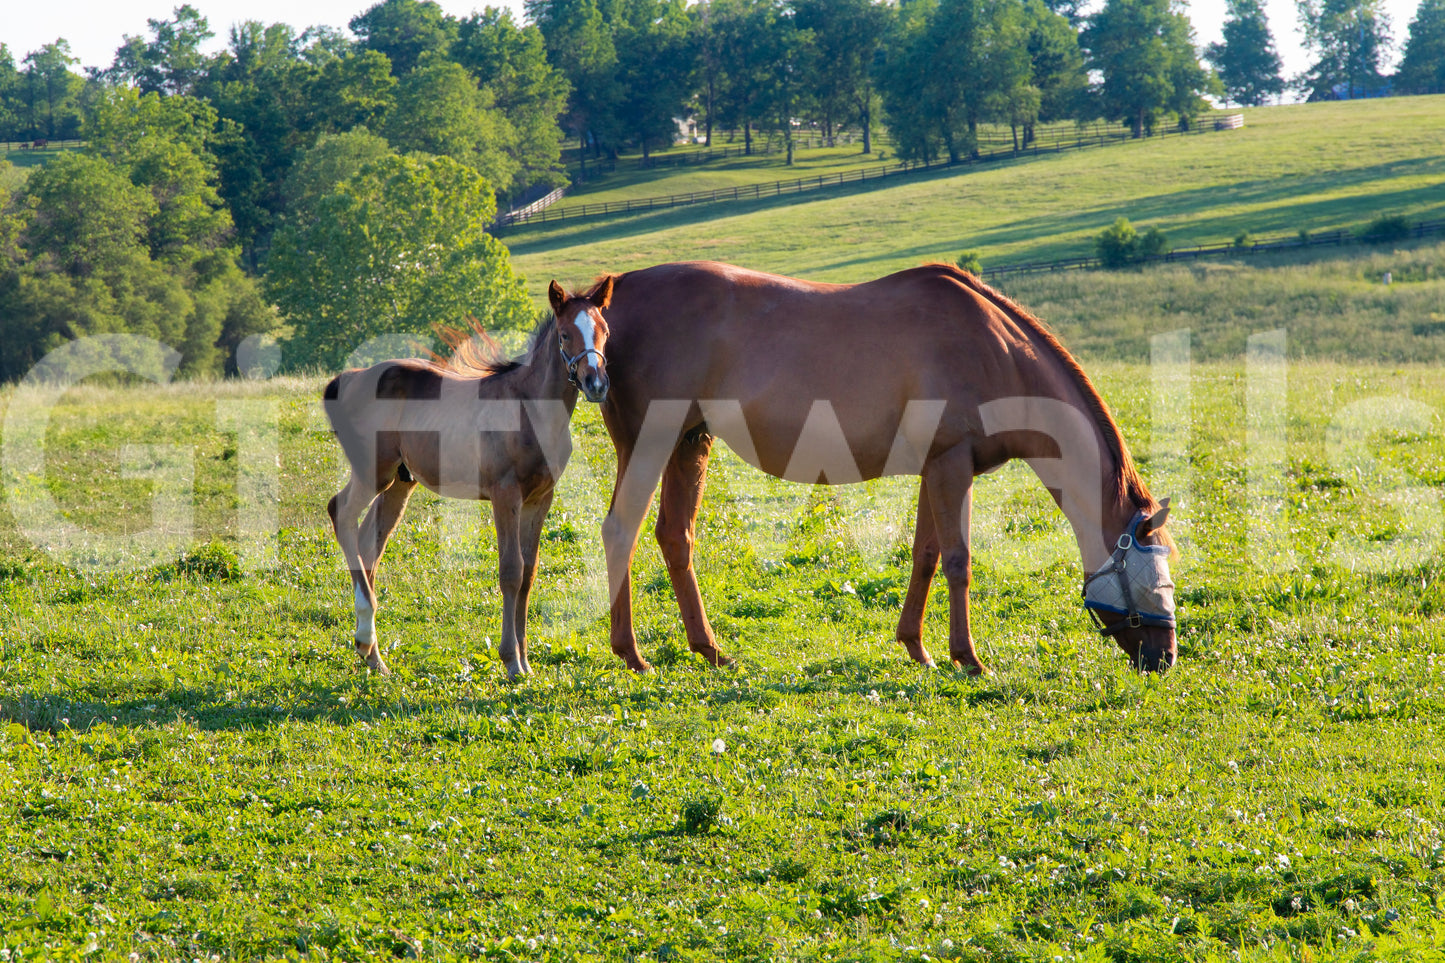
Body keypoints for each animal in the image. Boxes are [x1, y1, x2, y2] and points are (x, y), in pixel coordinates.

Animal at [323, 278, 614, 678]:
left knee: (369, 545)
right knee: (341, 513)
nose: (595, 383)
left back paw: (373, 655)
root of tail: (348, 379)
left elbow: (529, 573)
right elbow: (511, 571)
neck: (531, 408)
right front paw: (511, 661)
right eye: (565, 334)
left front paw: (526, 662)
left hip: (400, 481)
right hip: (373, 472)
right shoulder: (505, 495)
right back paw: (367, 635)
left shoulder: (540, 498)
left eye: (604, 331)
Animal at [591, 261, 1178, 675]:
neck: (994, 351)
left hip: (690, 444)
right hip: (649, 445)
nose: (1167, 657)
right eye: (1151, 575)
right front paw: (968, 658)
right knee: (621, 530)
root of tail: (612, 299)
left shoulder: (936, 469)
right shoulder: (951, 467)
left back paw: (709, 649)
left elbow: (926, 555)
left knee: (675, 536)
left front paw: (918, 648)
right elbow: (959, 561)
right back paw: (632, 653)